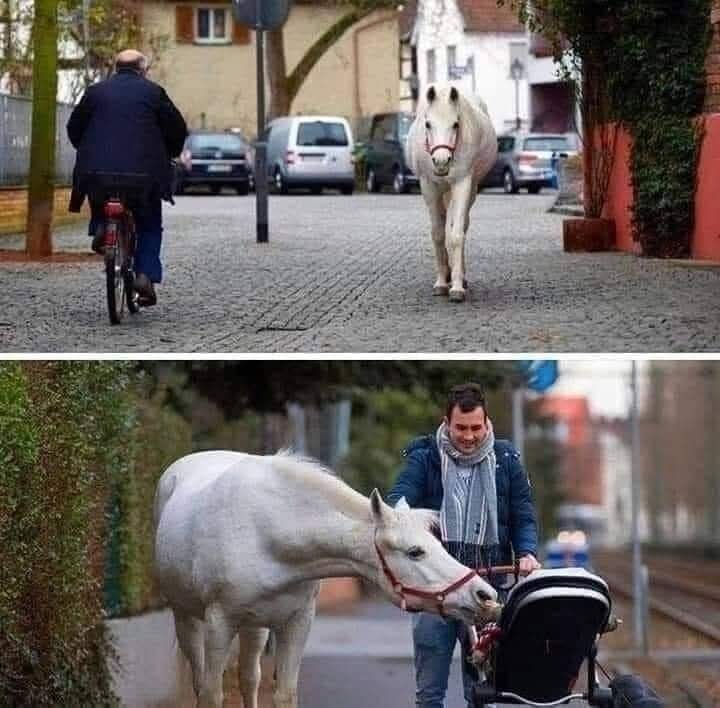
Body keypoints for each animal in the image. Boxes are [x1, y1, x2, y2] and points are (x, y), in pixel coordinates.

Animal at [153, 450, 499, 708]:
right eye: (415, 552)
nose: (484, 595)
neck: (266, 533)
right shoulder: (219, 623)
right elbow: (211, 695)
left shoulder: (296, 623)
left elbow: (284, 694)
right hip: (187, 619)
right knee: (202, 681)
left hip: (255, 627)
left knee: (249, 678)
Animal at [406, 83, 498, 302]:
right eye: (428, 124)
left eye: (455, 124)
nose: (441, 161)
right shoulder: (428, 185)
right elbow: (438, 234)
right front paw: (441, 282)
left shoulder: (462, 183)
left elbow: (455, 235)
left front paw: (456, 286)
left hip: (469, 189)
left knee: (461, 226)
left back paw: (459, 276)